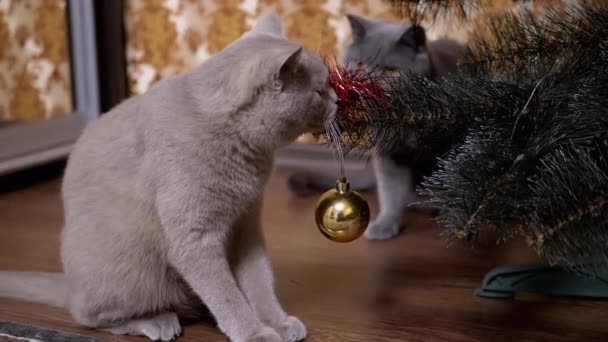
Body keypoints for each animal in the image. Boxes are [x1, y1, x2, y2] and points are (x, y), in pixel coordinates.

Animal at [0, 12, 338, 342]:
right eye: (319, 91)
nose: (336, 98)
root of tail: (69, 284)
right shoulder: (194, 238)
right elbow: (227, 295)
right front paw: (254, 333)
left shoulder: (247, 222)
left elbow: (259, 280)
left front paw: (277, 322)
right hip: (132, 266)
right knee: (88, 316)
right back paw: (158, 321)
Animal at [288, 14, 468, 240]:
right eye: (359, 64)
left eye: (391, 71)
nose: (366, 86)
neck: (408, 118)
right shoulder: (388, 151)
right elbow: (390, 190)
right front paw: (385, 225)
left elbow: (455, 181)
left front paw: (458, 224)